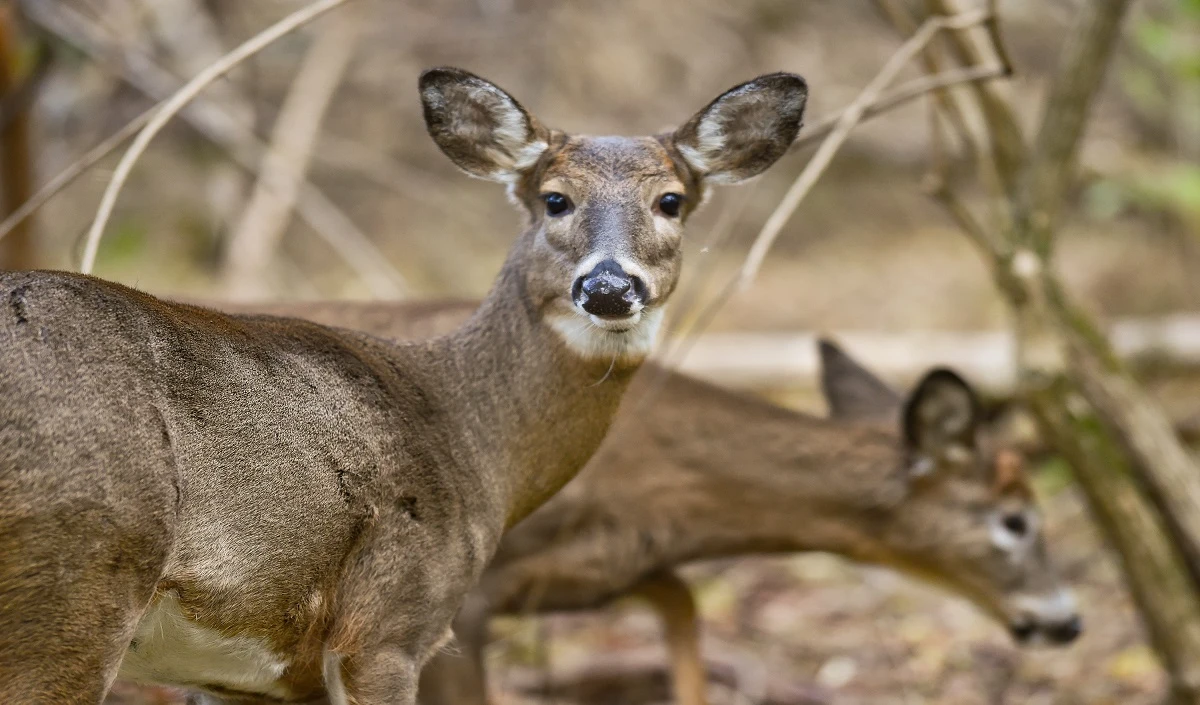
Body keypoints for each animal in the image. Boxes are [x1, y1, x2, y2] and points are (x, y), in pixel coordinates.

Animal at [0, 67, 811, 705]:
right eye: (555, 198)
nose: (609, 287)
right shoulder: (390, 624)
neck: (467, 433)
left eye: (671, 200)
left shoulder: (246, 678)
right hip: (78, 580)